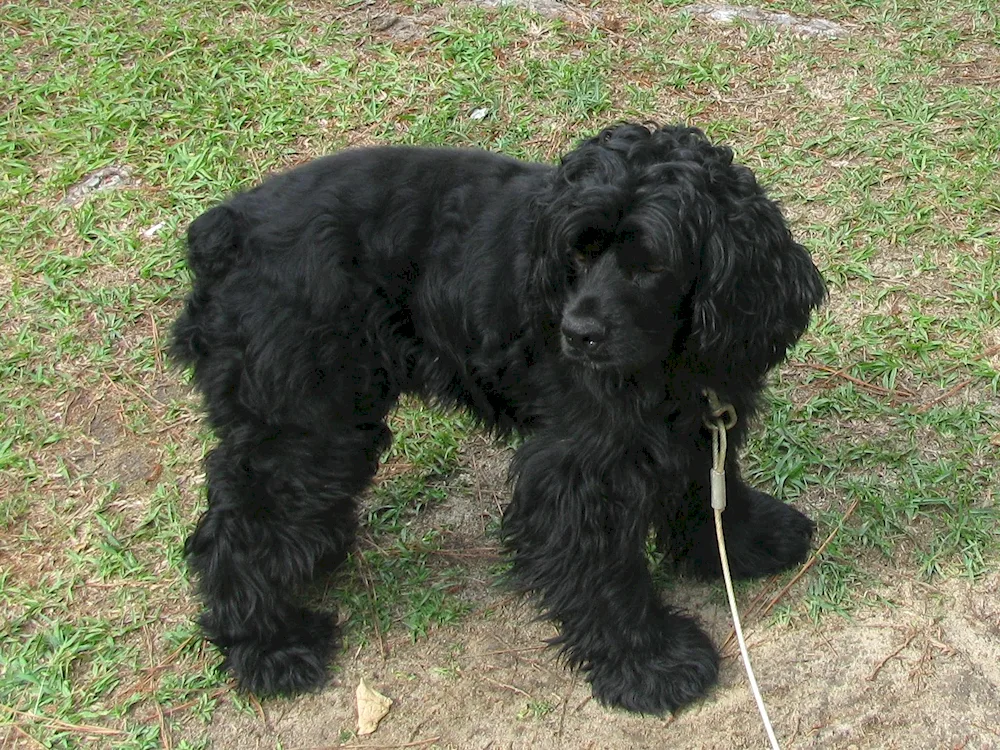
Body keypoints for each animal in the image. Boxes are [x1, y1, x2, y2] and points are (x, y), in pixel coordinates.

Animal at [174, 123, 828, 716]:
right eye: (579, 252)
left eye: (649, 264)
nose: (577, 334)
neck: (673, 356)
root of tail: (226, 230)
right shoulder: (579, 467)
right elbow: (602, 567)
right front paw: (648, 663)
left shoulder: (696, 421)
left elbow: (709, 490)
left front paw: (741, 545)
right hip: (307, 425)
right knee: (238, 528)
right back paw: (271, 647)